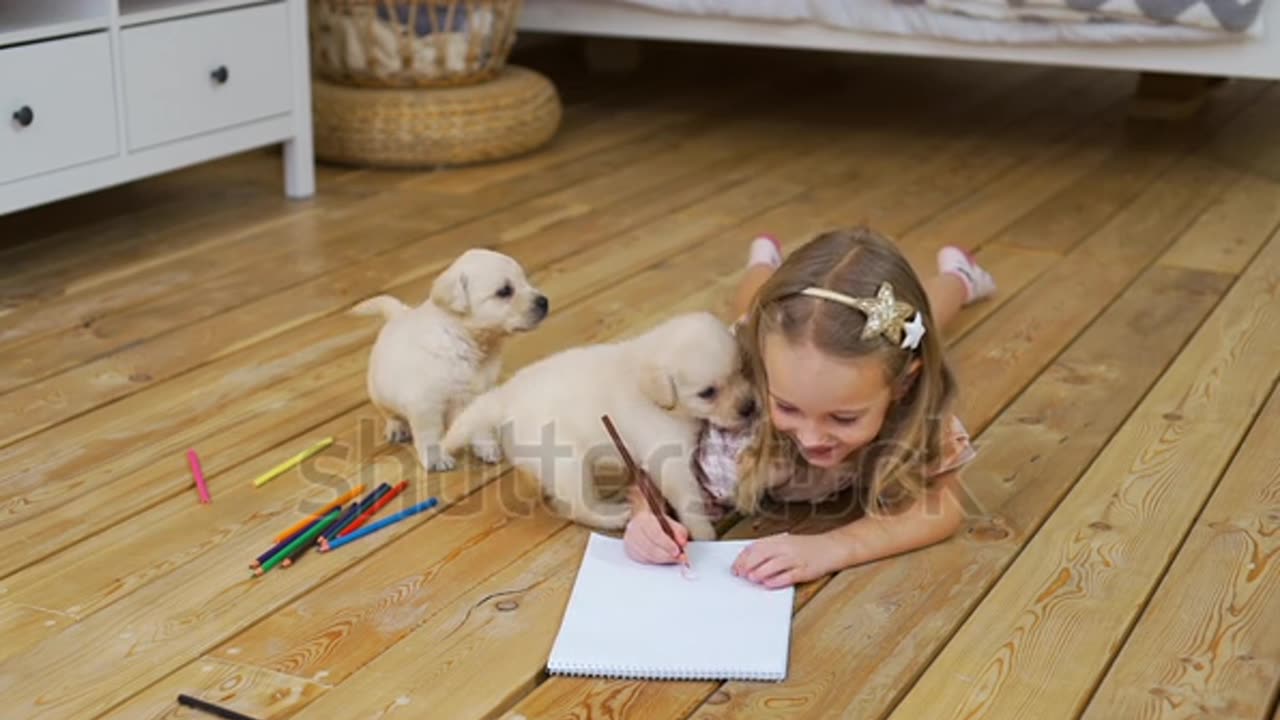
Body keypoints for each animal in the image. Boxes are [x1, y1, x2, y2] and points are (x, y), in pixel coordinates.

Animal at [353, 245, 547, 471]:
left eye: (525, 280)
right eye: (505, 291)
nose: (544, 302)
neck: (466, 340)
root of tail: (397, 316)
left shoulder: (478, 395)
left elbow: (479, 426)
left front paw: (486, 447)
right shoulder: (425, 405)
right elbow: (430, 436)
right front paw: (436, 459)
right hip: (379, 392)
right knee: (389, 413)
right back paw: (396, 427)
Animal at [442, 310, 752, 538]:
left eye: (742, 371)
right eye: (708, 393)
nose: (750, 408)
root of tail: (505, 397)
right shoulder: (668, 459)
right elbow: (688, 499)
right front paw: (704, 533)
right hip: (569, 463)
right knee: (577, 507)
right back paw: (611, 517)